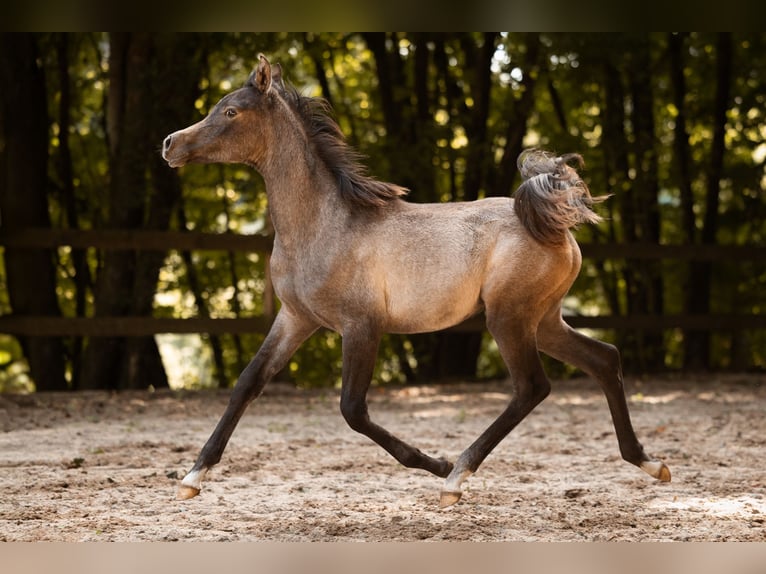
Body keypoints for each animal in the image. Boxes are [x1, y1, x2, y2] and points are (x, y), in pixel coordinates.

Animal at [162, 54, 670, 507]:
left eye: (231, 111)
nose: (169, 143)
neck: (324, 224)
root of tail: (554, 224)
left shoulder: (361, 326)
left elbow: (353, 410)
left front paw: (437, 463)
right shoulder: (295, 319)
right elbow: (248, 383)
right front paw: (191, 477)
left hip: (509, 318)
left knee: (532, 387)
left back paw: (456, 477)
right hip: (543, 320)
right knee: (604, 358)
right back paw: (650, 463)